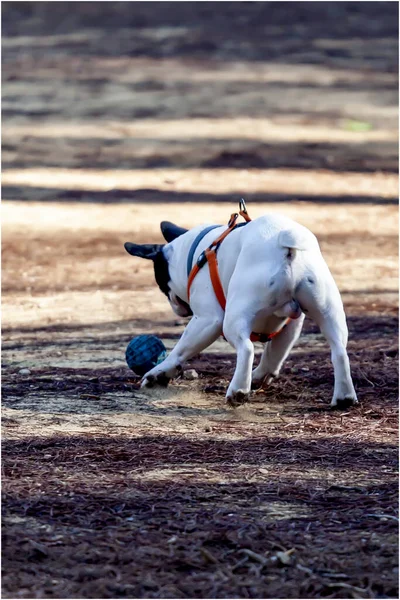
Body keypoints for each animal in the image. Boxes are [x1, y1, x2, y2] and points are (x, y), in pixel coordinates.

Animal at [124, 206, 356, 408]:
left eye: (162, 284)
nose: (175, 308)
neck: (195, 251)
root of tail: (285, 243)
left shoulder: (207, 320)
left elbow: (181, 350)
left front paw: (159, 373)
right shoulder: (291, 325)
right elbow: (274, 354)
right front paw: (261, 376)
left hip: (232, 320)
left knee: (246, 348)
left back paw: (238, 391)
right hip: (328, 311)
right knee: (339, 351)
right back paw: (343, 397)